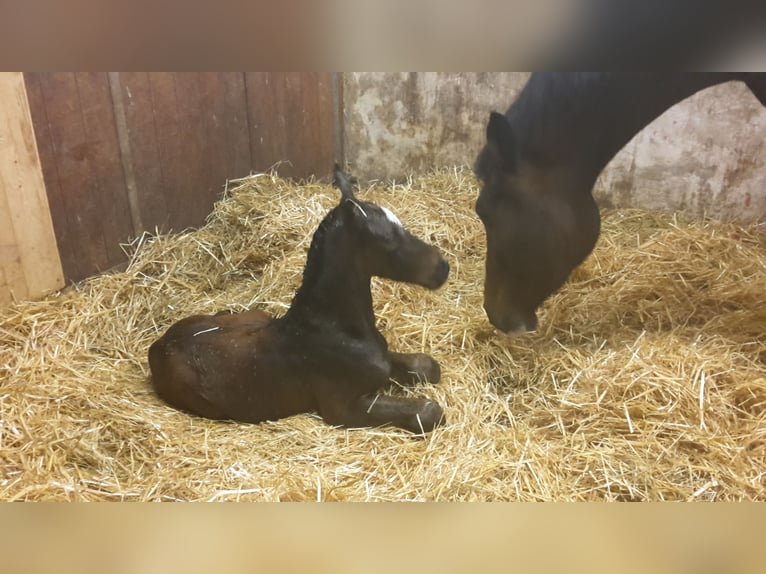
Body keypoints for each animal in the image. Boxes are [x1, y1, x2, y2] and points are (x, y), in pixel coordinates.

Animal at [149, 165, 450, 432]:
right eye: (387, 240)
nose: (442, 268)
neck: (336, 330)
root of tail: (158, 345)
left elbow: (428, 367)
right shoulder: (341, 408)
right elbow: (429, 412)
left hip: (253, 317)